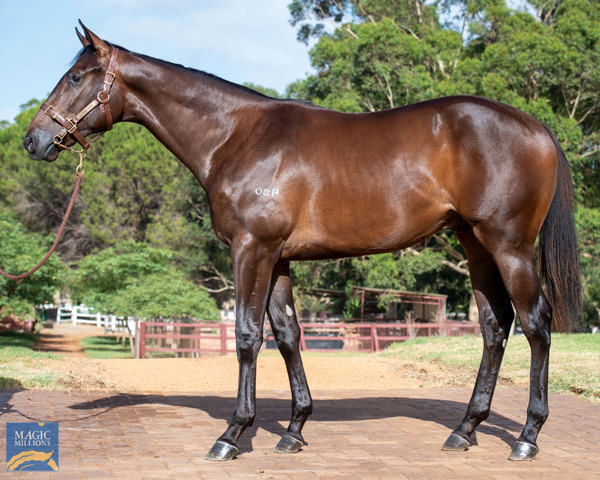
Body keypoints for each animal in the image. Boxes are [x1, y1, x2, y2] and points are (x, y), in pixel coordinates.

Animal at [24, 22, 580, 462]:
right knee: (495, 325)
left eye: (75, 77)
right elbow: (289, 335)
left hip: (508, 246)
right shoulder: (279, 258)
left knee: (536, 324)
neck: (234, 136)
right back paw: (465, 429)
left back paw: (527, 437)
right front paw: (293, 430)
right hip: (474, 243)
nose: (33, 140)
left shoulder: (251, 248)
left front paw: (233, 434)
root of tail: (536, 126)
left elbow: (248, 335)